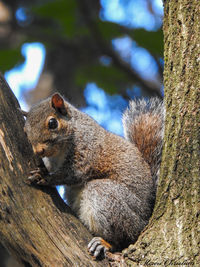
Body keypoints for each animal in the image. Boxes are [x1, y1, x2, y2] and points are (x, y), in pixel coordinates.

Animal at [23, 93, 164, 260]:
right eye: (25, 130)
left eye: (52, 123)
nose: (39, 151)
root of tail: (146, 216)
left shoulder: (87, 150)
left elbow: (72, 174)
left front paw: (44, 177)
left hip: (112, 202)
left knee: (125, 238)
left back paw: (105, 243)